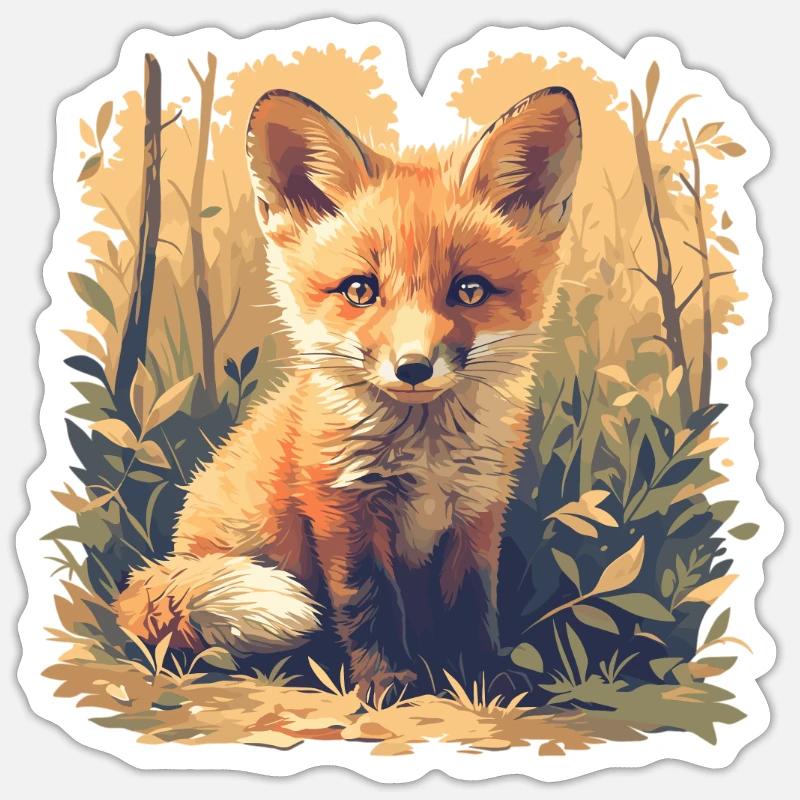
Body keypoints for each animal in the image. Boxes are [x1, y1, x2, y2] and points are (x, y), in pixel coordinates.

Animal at [115, 85, 582, 698]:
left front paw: (482, 681)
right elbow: (368, 603)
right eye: (360, 290)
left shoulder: (477, 508)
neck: (425, 455)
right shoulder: (341, 503)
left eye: (470, 290)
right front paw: (388, 682)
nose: (413, 367)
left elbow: (474, 605)